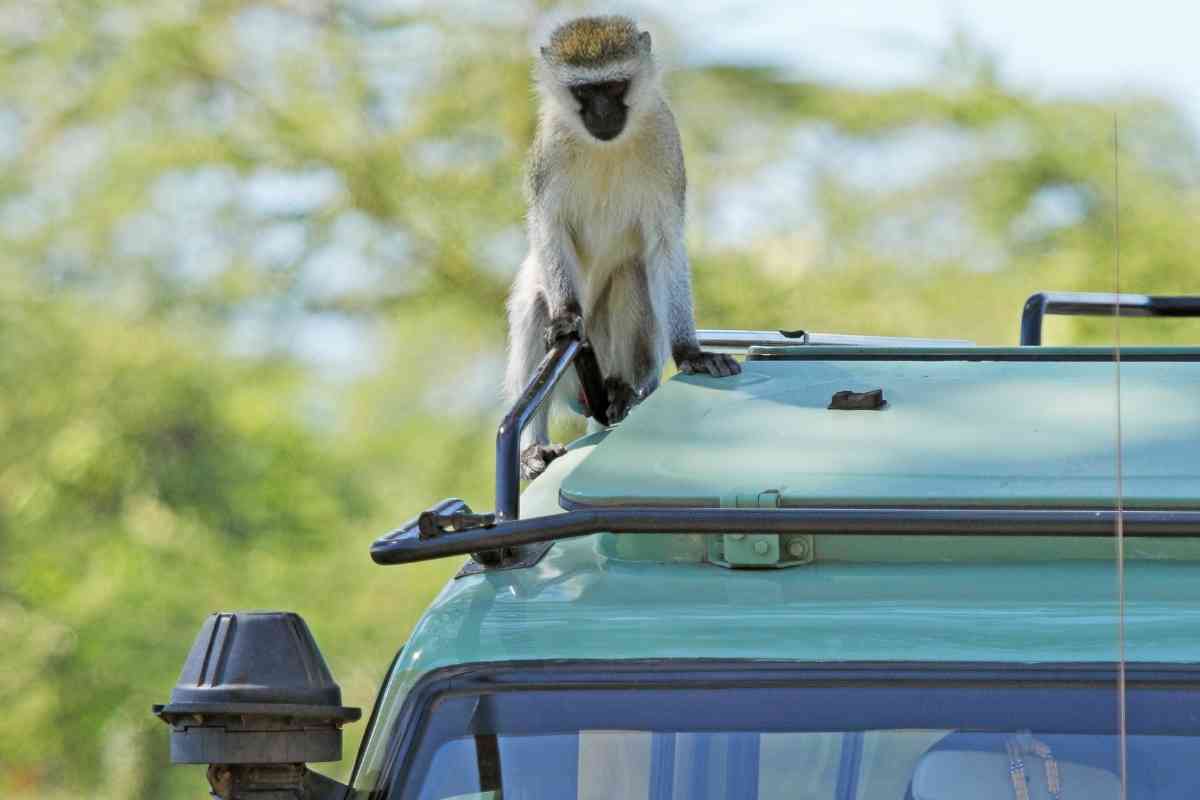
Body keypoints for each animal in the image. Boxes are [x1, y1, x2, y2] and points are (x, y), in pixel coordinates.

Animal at [501, 14, 734, 474]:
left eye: (614, 87)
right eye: (584, 92)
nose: (603, 113)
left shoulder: (666, 144)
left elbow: (665, 245)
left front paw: (690, 351)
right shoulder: (548, 151)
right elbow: (548, 227)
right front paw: (565, 317)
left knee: (634, 277)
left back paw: (626, 388)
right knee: (535, 305)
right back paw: (535, 446)